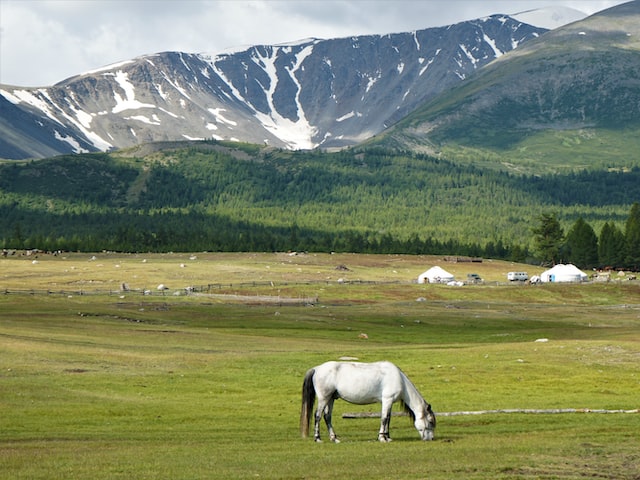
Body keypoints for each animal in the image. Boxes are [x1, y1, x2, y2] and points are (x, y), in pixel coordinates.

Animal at [300, 360, 436, 442]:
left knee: (327, 417)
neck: (399, 379)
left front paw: (388, 437)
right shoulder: (387, 400)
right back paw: (318, 438)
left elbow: (388, 418)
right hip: (323, 398)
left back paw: (334, 438)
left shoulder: (389, 402)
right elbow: (384, 418)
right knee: (318, 416)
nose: (431, 438)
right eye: (430, 421)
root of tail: (317, 368)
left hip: (330, 399)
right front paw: (382, 438)